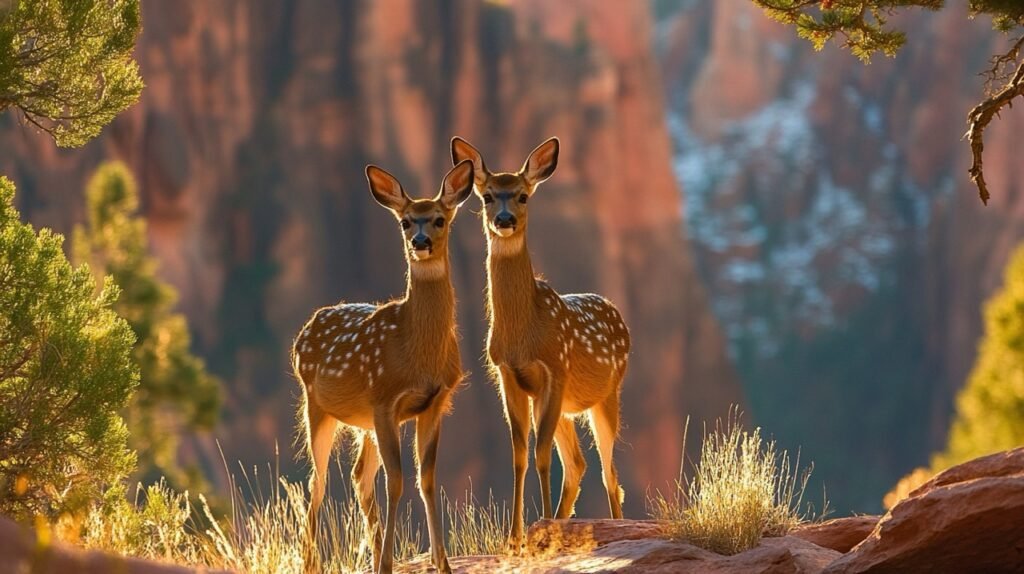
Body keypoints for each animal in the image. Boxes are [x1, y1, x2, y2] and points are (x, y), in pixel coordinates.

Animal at [292, 157, 475, 572]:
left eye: (439, 219)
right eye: (405, 222)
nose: (419, 242)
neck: (418, 353)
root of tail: (304, 331)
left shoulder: (435, 403)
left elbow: (426, 479)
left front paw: (442, 563)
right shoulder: (385, 399)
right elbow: (397, 481)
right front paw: (392, 562)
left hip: (364, 422)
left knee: (359, 477)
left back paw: (372, 556)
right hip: (320, 406)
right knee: (318, 480)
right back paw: (312, 563)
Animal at [452, 135, 626, 552]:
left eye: (522, 196)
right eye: (487, 196)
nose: (504, 220)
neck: (524, 333)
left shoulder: (554, 369)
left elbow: (543, 455)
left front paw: (541, 528)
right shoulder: (507, 375)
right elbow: (520, 454)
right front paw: (514, 539)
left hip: (606, 395)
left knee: (608, 471)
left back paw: (610, 524)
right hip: (567, 407)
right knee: (578, 463)